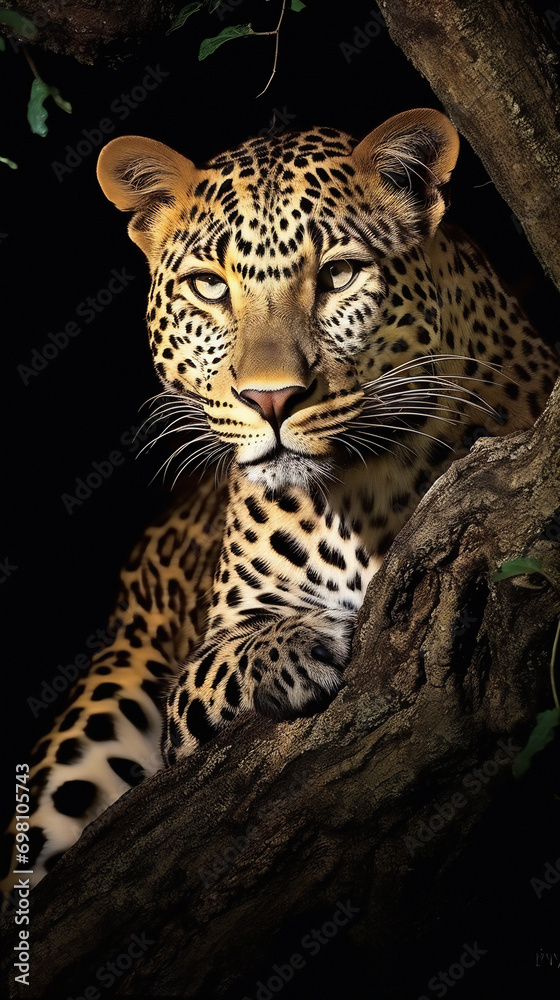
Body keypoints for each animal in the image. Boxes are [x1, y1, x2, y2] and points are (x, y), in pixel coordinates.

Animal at [2, 108, 558, 899]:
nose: (270, 400)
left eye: (338, 275)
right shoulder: (203, 662)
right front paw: (292, 648)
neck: (361, 491)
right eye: (209, 286)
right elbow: (217, 664)